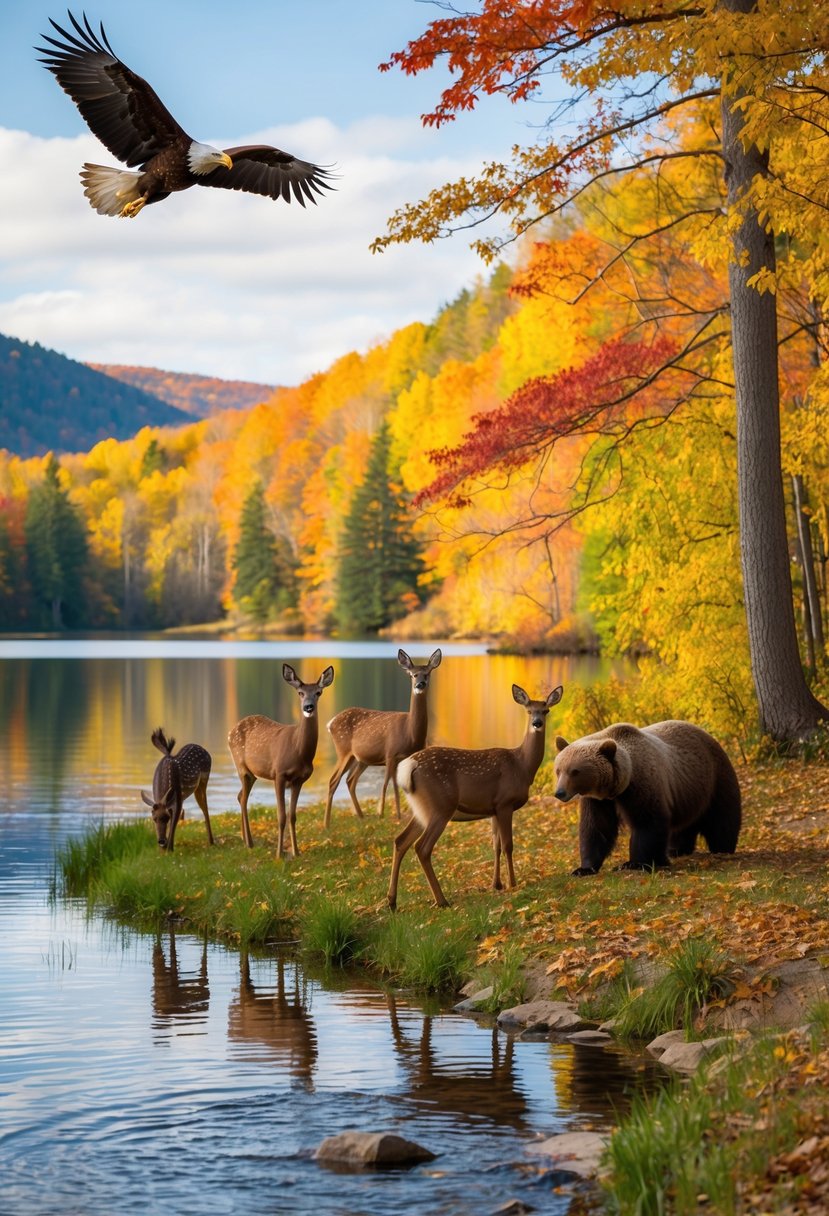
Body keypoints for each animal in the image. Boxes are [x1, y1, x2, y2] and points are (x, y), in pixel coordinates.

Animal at [228, 663, 335, 858]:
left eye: (318, 692)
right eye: (300, 692)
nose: (308, 707)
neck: (299, 752)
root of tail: (230, 732)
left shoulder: (299, 780)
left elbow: (292, 816)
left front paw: (296, 852)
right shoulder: (279, 774)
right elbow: (281, 816)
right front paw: (279, 854)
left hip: (252, 774)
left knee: (240, 796)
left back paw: (247, 841)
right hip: (241, 766)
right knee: (244, 798)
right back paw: (249, 843)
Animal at [324, 648, 442, 828]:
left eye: (427, 674)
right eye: (412, 675)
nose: (419, 685)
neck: (410, 733)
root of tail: (330, 723)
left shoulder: (406, 757)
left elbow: (401, 787)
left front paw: (401, 816)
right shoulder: (390, 753)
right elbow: (387, 784)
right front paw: (382, 814)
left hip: (360, 759)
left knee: (350, 780)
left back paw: (361, 817)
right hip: (343, 751)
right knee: (333, 780)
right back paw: (327, 824)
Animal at [387, 683, 564, 909]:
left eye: (546, 710)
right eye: (529, 710)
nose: (537, 723)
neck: (522, 765)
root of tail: (408, 765)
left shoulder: (493, 809)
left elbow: (496, 845)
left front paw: (496, 884)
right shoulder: (505, 803)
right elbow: (508, 845)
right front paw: (513, 884)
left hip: (421, 809)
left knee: (401, 841)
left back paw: (392, 901)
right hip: (441, 806)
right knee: (422, 847)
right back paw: (441, 900)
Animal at [552, 720, 741, 875]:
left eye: (575, 771)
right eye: (558, 770)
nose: (559, 793)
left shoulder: (643, 784)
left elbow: (647, 822)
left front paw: (634, 863)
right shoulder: (598, 800)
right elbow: (597, 827)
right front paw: (583, 868)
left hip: (715, 778)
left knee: (722, 817)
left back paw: (722, 848)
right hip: (686, 794)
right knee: (683, 827)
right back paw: (676, 849)